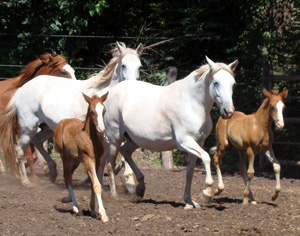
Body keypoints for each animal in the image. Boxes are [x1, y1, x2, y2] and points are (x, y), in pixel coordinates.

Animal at [0, 42, 144, 186]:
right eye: (123, 65)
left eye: (139, 66)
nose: (133, 86)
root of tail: (21, 90)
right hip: (28, 128)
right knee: (19, 150)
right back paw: (25, 181)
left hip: (47, 128)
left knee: (37, 141)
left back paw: (52, 172)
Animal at [54, 93, 109, 222]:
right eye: (92, 111)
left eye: (104, 110)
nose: (101, 129)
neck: (92, 139)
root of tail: (61, 122)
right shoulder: (88, 160)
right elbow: (96, 185)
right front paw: (103, 214)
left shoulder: (98, 161)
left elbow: (93, 185)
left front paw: (93, 210)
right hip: (65, 157)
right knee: (67, 177)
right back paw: (75, 207)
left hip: (75, 161)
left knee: (67, 176)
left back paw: (67, 199)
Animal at [103, 56, 239, 208]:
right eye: (215, 82)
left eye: (233, 84)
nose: (228, 112)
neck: (192, 103)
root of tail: (112, 92)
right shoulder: (184, 141)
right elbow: (206, 157)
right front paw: (208, 191)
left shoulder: (199, 142)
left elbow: (190, 172)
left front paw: (189, 202)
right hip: (114, 137)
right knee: (110, 163)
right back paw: (114, 196)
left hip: (135, 140)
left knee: (125, 152)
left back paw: (140, 188)